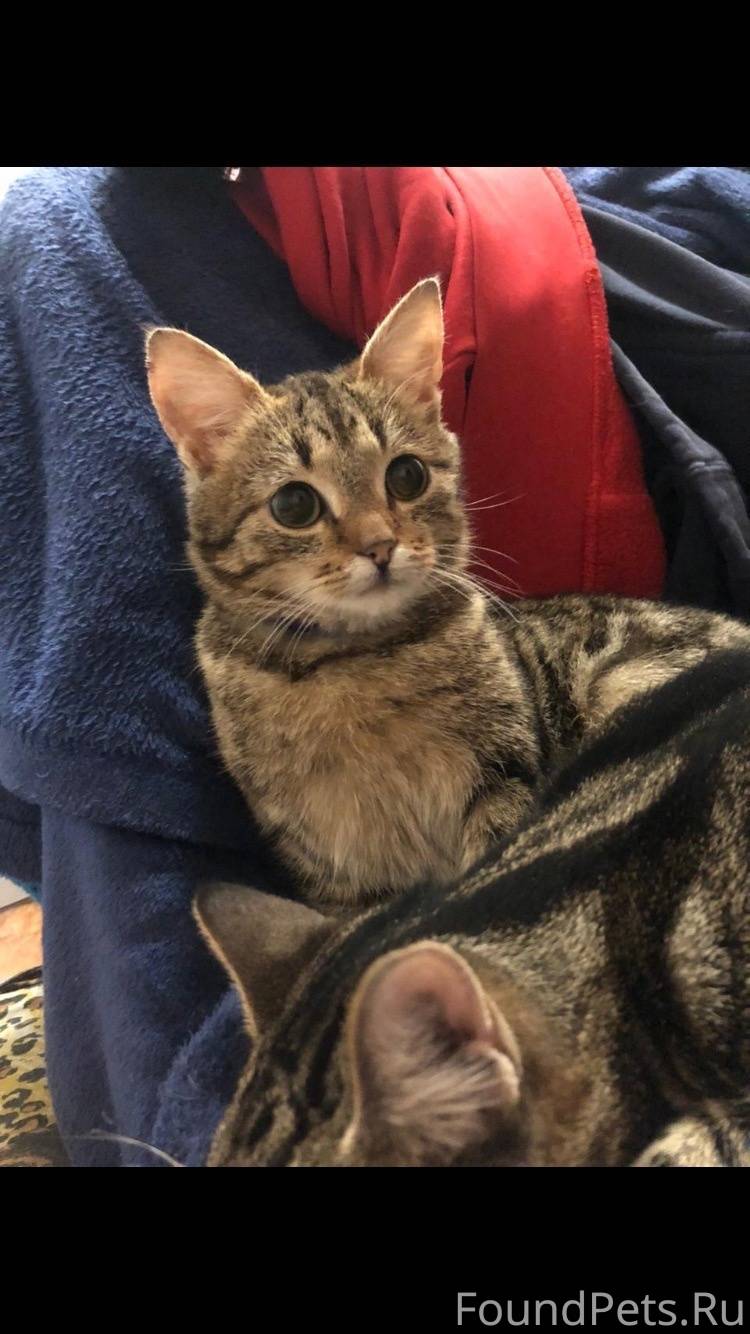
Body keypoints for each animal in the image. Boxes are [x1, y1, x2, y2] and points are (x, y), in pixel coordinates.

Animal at [146, 278, 750, 907]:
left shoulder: (502, 773)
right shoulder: (321, 859)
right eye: (294, 504)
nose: (380, 546)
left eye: (406, 475)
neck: (361, 657)